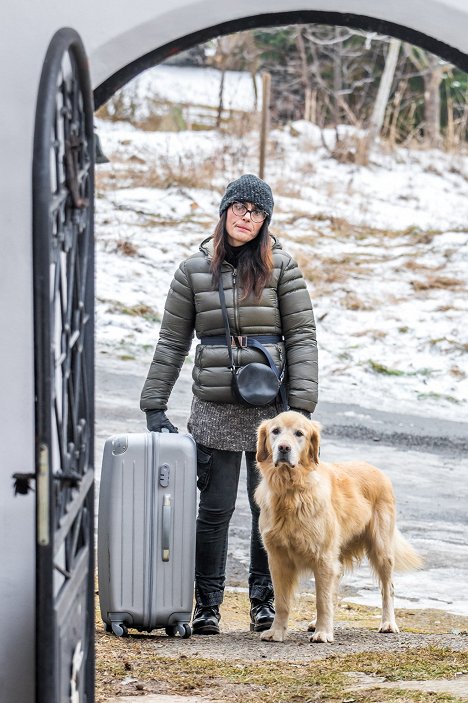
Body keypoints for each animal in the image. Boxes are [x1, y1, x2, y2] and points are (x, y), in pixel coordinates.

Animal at [256, 410, 424, 648]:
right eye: (275, 431)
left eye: (299, 433)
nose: (284, 448)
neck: (291, 491)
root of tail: (377, 470)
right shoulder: (278, 559)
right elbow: (282, 602)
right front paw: (276, 632)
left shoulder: (323, 557)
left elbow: (322, 600)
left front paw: (323, 633)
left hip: (381, 549)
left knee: (388, 589)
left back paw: (388, 623)